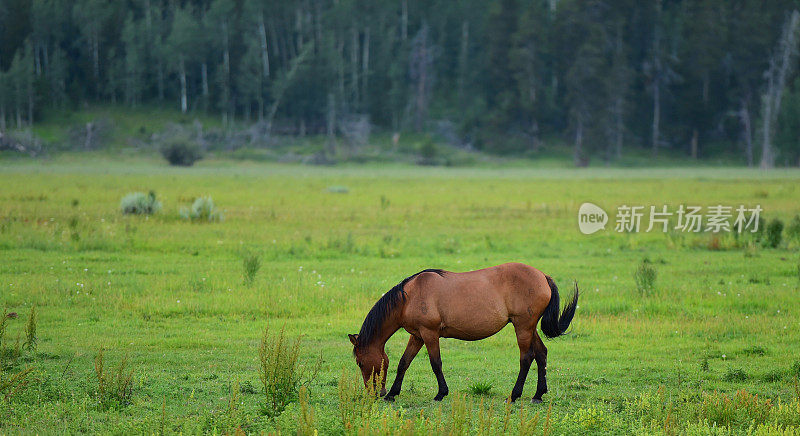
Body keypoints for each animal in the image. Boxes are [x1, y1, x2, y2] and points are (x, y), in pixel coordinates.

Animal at [346, 262, 580, 402]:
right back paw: (538, 394)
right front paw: (393, 394)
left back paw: (514, 395)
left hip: (523, 327)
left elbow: (436, 363)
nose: (375, 393)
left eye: (360, 362)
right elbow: (404, 362)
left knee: (526, 357)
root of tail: (542, 276)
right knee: (541, 354)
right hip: (528, 327)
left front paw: (441, 394)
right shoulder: (417, 335)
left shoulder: (429, 334)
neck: (409, 297)